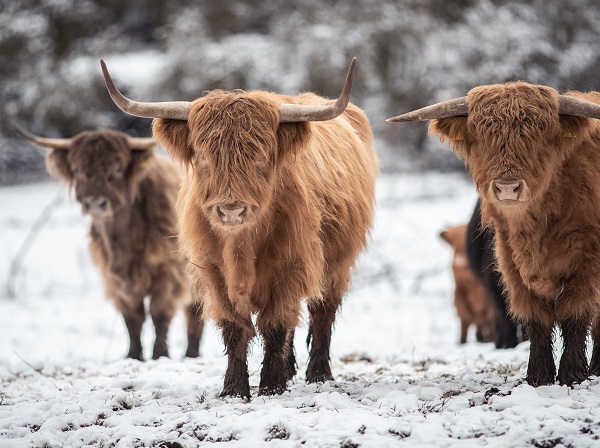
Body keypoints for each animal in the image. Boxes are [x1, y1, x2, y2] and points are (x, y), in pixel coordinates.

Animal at [17, 126, 204, 360]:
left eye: (118, 167)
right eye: (78, 169)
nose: (95, 203)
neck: (124, 238)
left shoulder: (169, 273)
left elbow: (159, 313)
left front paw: (160, 355)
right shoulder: (115, 279)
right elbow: (132, 318)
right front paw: (133, 356)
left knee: (196, 316)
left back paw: (191, 354)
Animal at [100, 57, 378, 398]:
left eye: (261, 158)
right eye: (204, 158)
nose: (231, 209)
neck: (241, 246)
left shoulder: (292, 266)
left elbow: (276, 325)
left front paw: (271, 386)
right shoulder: (213, 272)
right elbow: (234, 328)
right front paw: (234, 389)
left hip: (337, 264)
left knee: (322, 312)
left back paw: (319, 374)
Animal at [386, 83, 600, 384]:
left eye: (540, 135)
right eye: (483, 136)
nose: (507, 187)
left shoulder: (587, 262)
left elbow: (575, 314)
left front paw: (572, 375)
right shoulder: (510, 262)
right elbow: (536, 319)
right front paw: (538, 377)